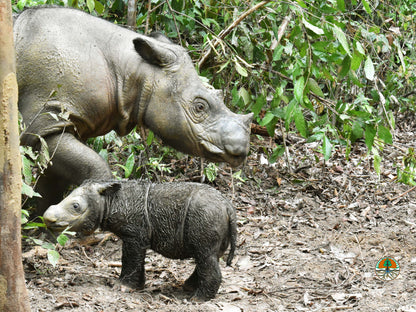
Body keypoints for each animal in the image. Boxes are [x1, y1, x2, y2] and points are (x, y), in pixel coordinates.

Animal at [13, 6, 254, 214]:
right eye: (200, 107)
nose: (242, 150)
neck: (135, 70)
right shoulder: (45, 121)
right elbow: (93, 166)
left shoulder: (61, 124)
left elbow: (50, 183)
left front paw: (45, 224)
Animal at [44, 180, 237, 300]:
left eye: (76, 207)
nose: (47, 218)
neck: (109, 199)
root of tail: (228, 206)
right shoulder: (136, 236)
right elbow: (134, 259)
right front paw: (135, 286)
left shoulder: (134, 235)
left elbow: (130, 259)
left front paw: (122, 287)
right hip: (211, 216)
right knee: (207, 255)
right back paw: (188, 288)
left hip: (206, 215)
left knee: (205, 254)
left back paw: (197, 299)